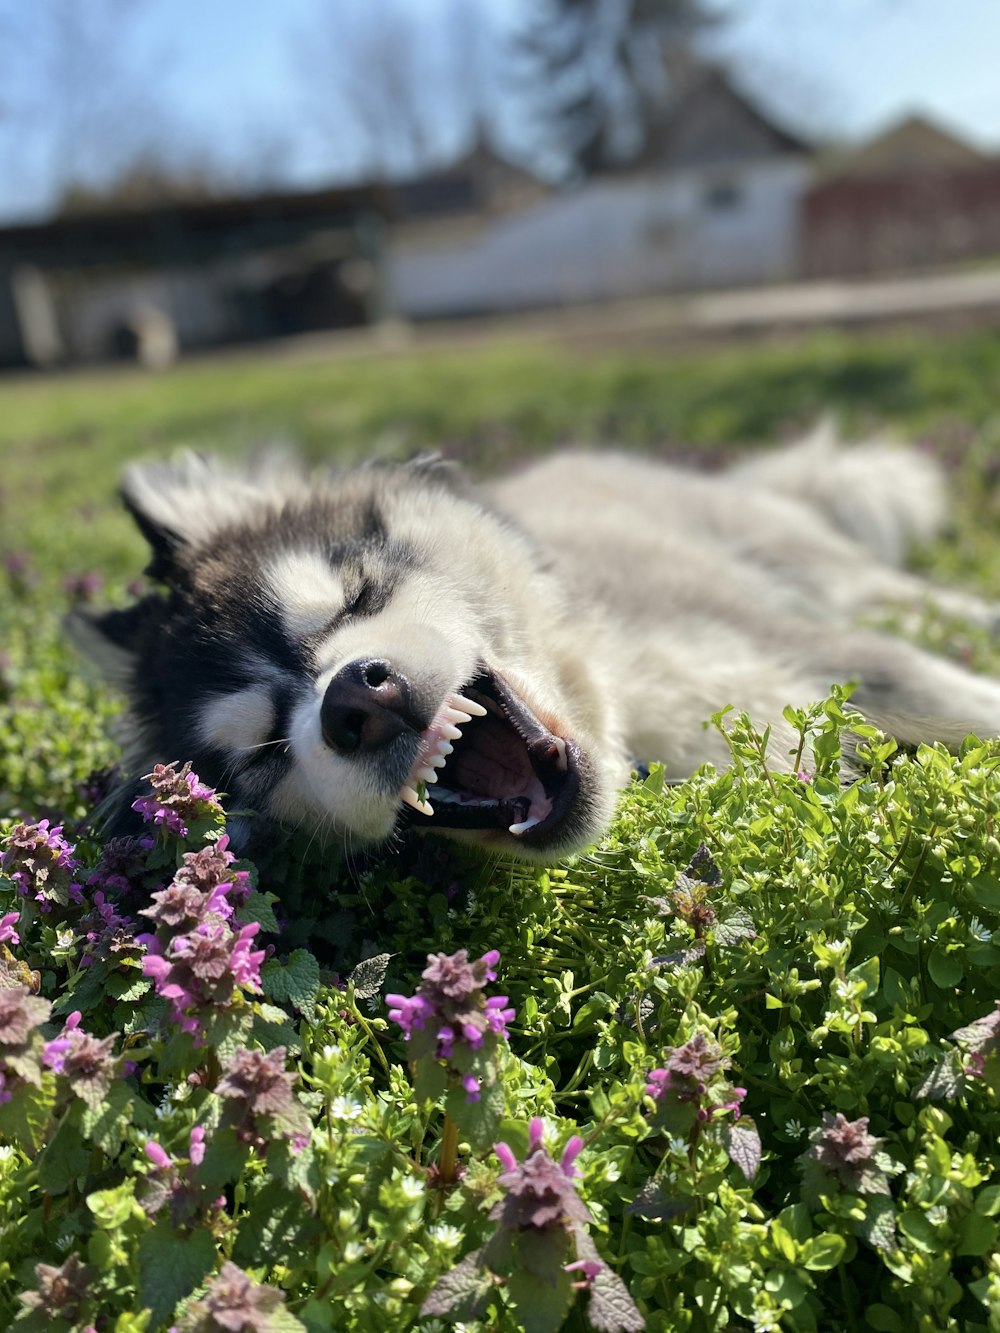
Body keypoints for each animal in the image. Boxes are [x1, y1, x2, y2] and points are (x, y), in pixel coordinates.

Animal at [74, 429, 1000, 863]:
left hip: (802, 560)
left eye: (355, 594)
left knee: (903, 594)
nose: (355, 700)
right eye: (267, 751)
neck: (623, 712)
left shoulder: (822, 649)